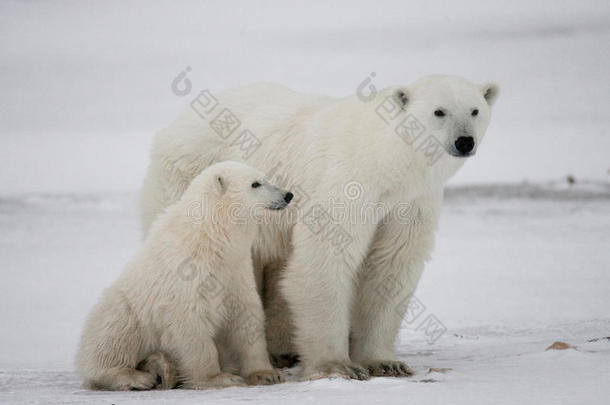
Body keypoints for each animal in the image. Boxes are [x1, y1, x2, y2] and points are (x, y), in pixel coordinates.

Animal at [76, 160, 292, 388]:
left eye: (265, 177)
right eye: (255, 184)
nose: (288, 195)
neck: (210, 238)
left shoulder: (236, 268)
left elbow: (246, 313)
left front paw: (266, 373)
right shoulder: (187, 274)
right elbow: (191, 323)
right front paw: (218, 378)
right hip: (124, 309)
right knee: (114, 338)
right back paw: (138, 376)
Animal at [139, 75, 498, 378]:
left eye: (475, 110)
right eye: (439, 111)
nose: (464, 141)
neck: (386, 161)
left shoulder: (410, 202)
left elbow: (391, 264)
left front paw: (385, 362)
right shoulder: (347, 183)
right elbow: (325, 258)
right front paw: (337, 365)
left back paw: (282, 350)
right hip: (191, 181)